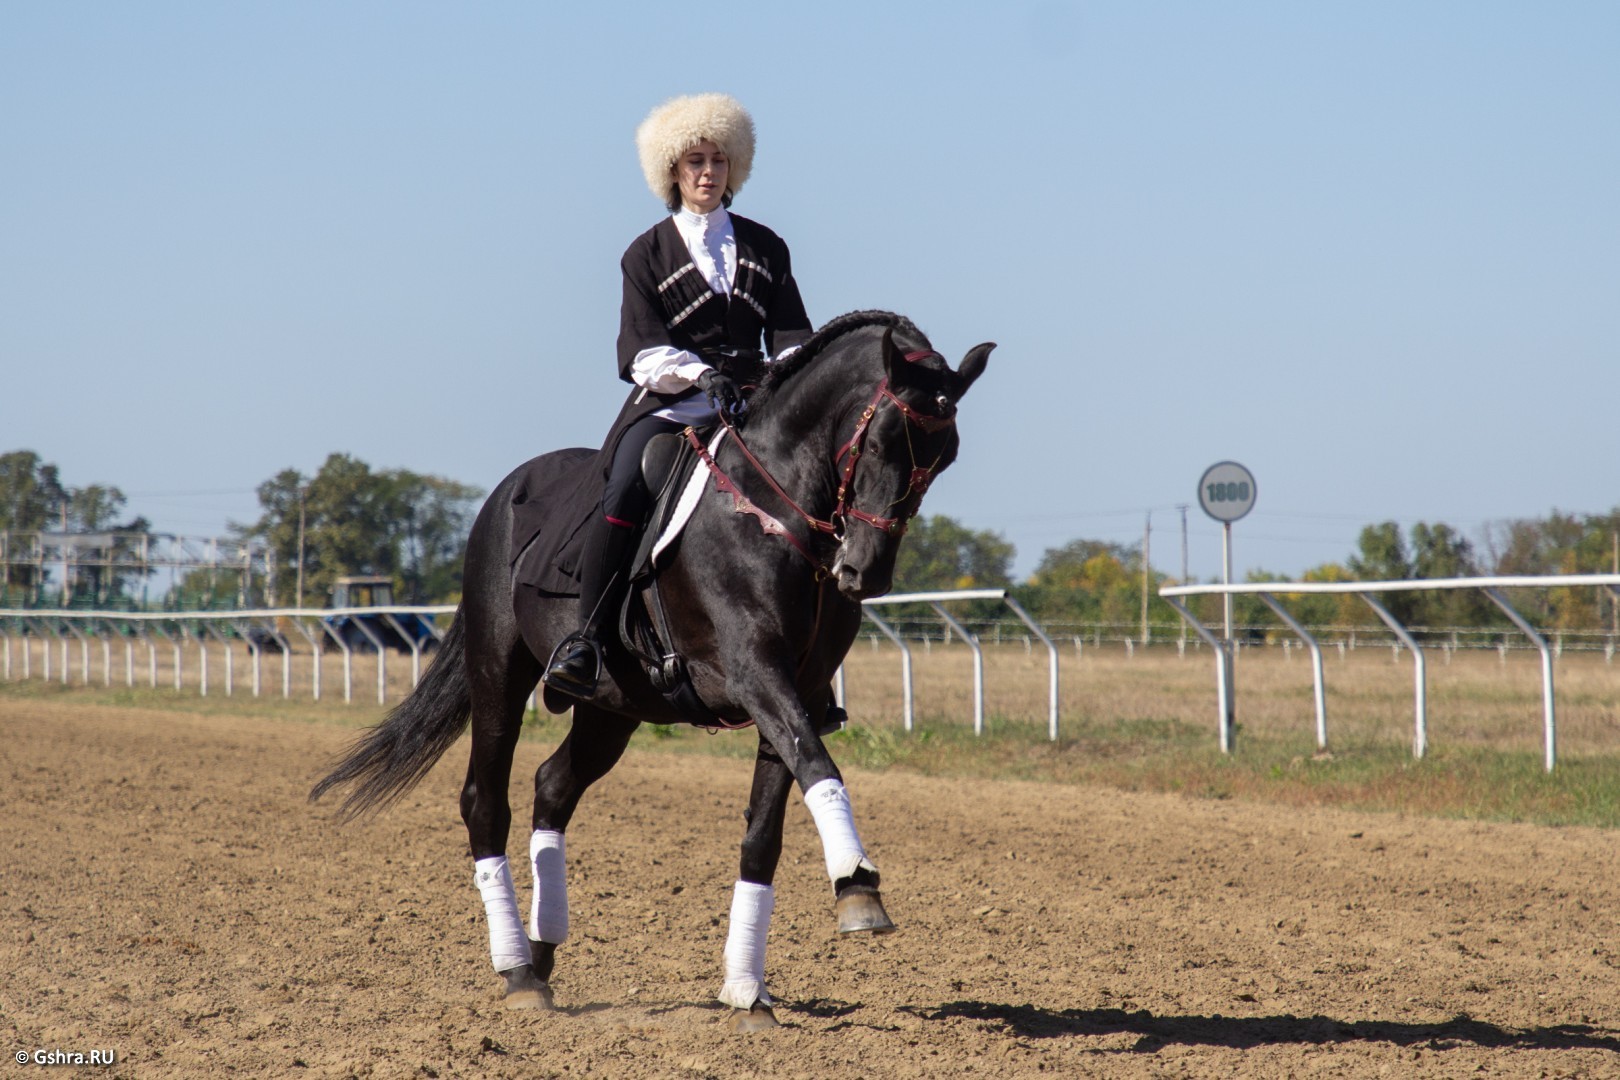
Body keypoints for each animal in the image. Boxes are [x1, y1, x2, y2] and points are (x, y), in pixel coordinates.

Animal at [304, 310, 984, 1029]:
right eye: (882, 438)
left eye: (945, 454)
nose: (865, 571)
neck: (772, 512)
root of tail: (505, 493)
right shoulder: (756, 673)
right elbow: (818, 764)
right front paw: (858, 886)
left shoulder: (795, 689)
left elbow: (766, 832)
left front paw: (747, 990)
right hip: (498, 674)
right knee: (485, 802)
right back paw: (516, 971)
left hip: (613, 707)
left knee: (553, 786)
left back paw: (543, 954)